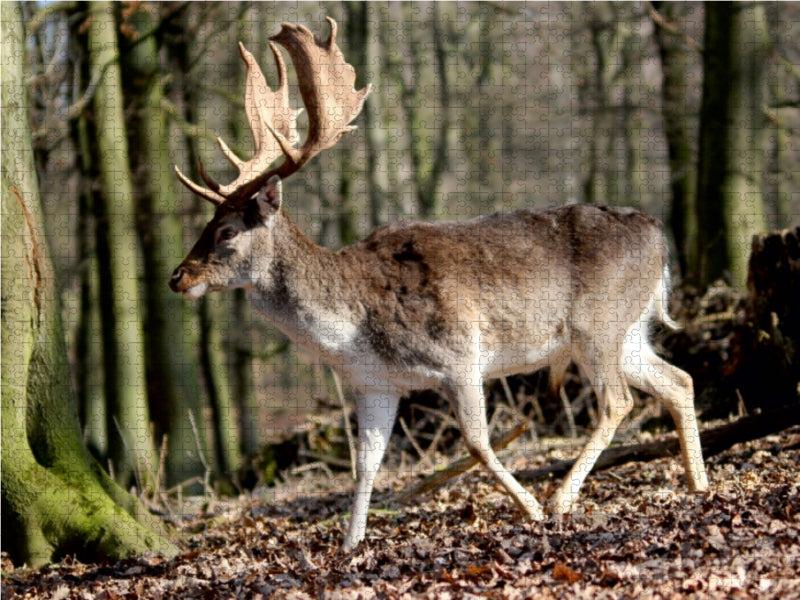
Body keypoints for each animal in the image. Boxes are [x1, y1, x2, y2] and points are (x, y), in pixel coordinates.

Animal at [167, 19, 708, 552]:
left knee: (619, 401)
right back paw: (697, 482)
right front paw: (350, 546)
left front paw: (530, 509)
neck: (352, 331)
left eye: (226, 231)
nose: (178, 277)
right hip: (629, 331)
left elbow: (477, 441)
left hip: (597, 325)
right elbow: (366, 466)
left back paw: (560, 500)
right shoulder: (375, 383)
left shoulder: (459, 354)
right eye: (206, 223)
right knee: (678, 380)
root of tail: (659, 236)